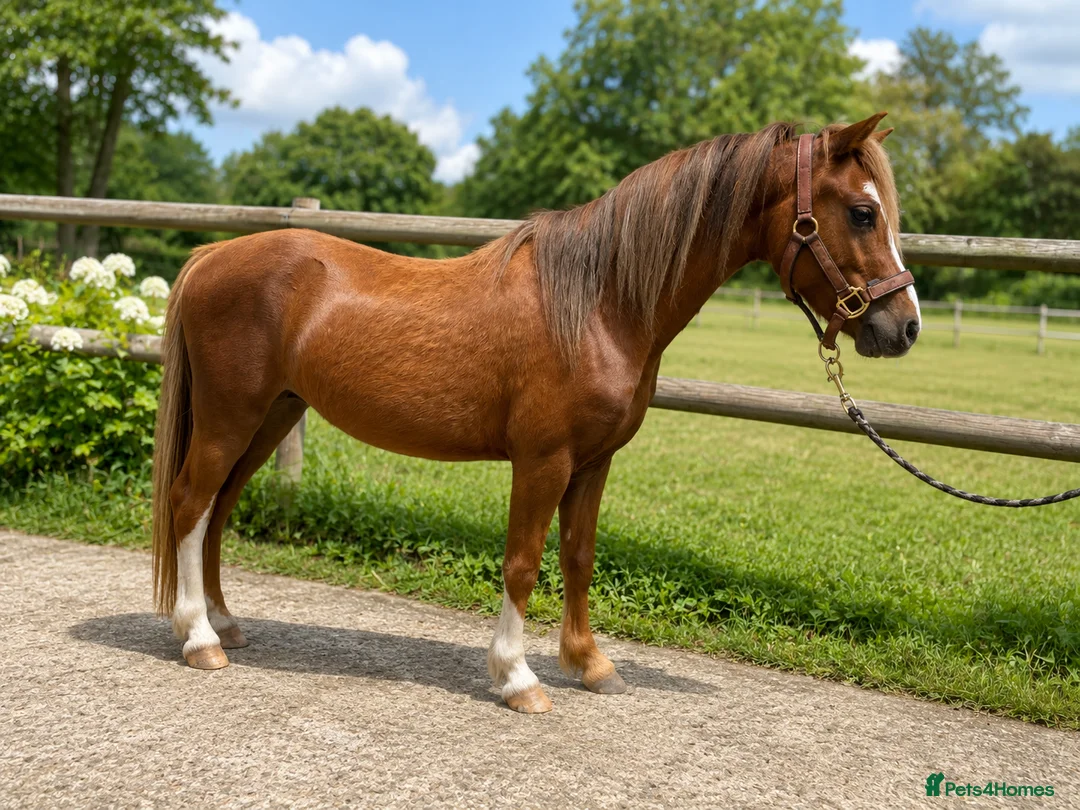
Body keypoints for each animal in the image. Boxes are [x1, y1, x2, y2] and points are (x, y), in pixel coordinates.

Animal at [151, 112, 921, 713]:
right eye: (862, 212)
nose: (904, 327)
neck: (601, 302)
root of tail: (212, 254)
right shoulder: (543, 460)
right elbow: (522, 562)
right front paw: (518, 678)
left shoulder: (594, 462)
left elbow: (578, 556)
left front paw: (591, 664)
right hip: (230, 417)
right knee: (190, 502)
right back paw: (199, 640)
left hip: (271, 417)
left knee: (217, 510)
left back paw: (224, 623)